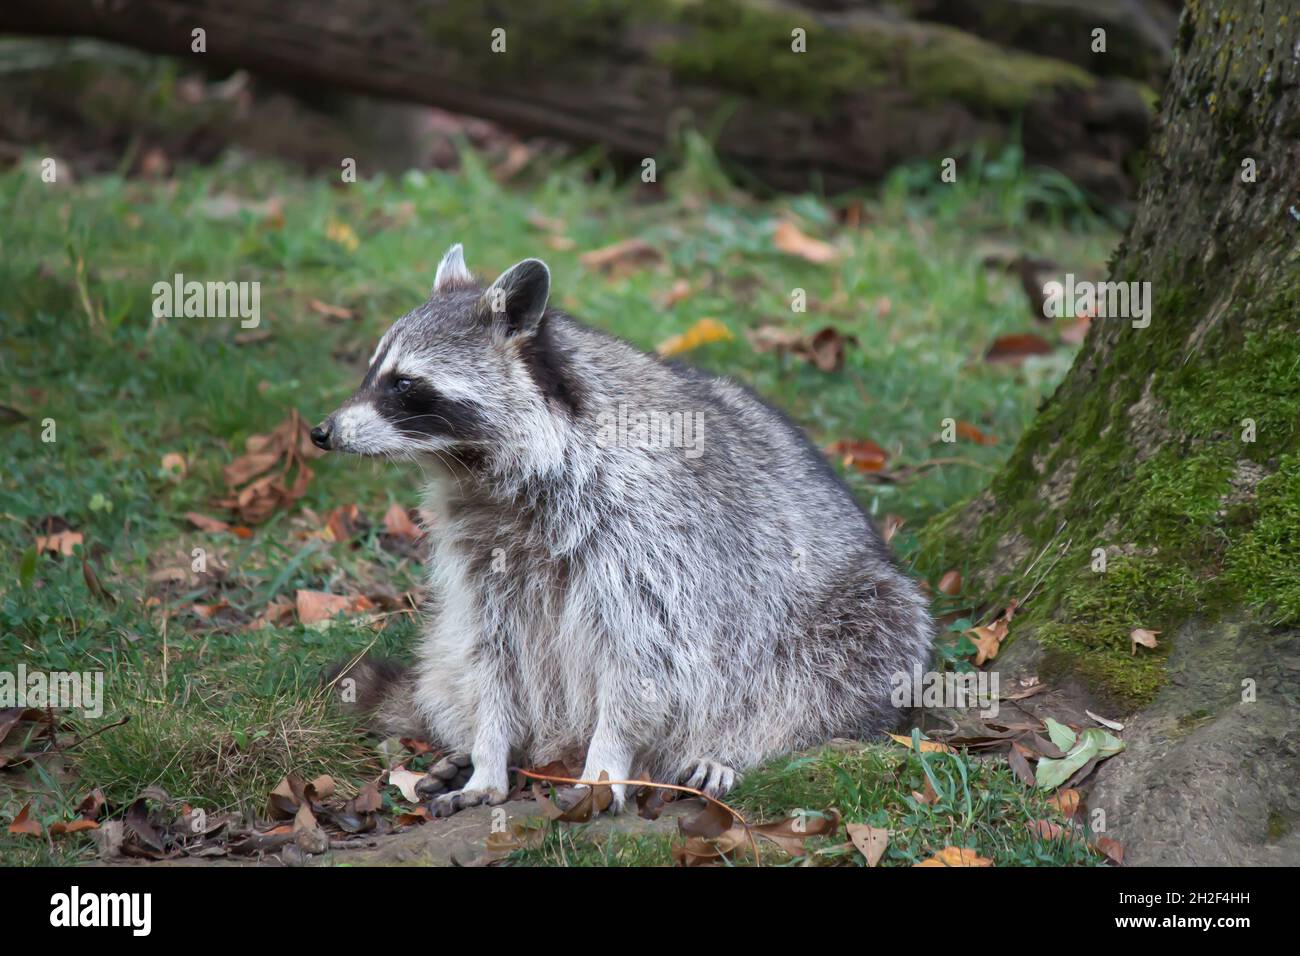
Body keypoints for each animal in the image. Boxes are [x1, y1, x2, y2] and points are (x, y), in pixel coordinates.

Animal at [313, 244, 933, 815]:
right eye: (373, 371)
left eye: (404, 384)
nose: (323, 432)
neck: (478, 468)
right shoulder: (481, 548)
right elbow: (488, 650)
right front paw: (489, 750)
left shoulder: (649, 528)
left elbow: (644, 656)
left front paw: (606, 760)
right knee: (449, 659)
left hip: (850, 610)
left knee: (834, 665)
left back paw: (738, 747)